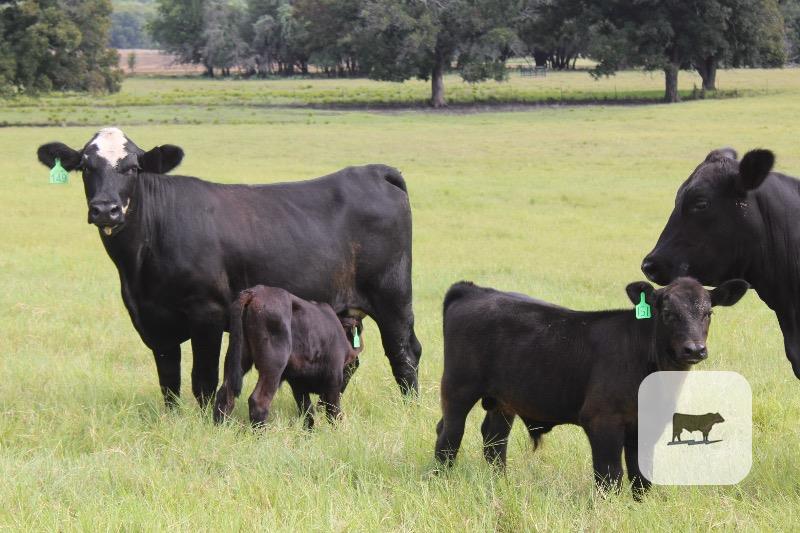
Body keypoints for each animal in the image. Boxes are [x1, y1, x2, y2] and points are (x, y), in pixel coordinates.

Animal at [36, 127, 421, 407]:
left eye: (132, 167)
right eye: (86, 167)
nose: (106, 209)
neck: (138, 266)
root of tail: (373, 172)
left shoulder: (206, 313)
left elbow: (203, 380)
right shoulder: (153, 321)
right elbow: (168, 380)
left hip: (393, 297)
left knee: (405, 352)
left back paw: (410, 408)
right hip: (347, 309)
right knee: (352, 358)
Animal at [213, 285, 364, 427]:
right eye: (354, 366)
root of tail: (254, 292)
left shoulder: (298, 384)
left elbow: (308, 413)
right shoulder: (333, 380)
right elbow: (334, 413)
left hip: (237, 358)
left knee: (225, 394)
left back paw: (220, 427)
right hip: (274, 365)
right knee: (259, 401)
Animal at [434, 277, 748, 498]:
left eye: (708, 313)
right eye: (668, 312)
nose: (694, 349)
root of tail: (473, 290)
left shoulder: (647, 425)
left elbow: (641, 476)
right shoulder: (602, 420)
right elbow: (610, 476)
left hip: (504, 400)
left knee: (494, 440)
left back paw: (500, 484)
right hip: (458, 388)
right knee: (449, 435)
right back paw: (441, 480)